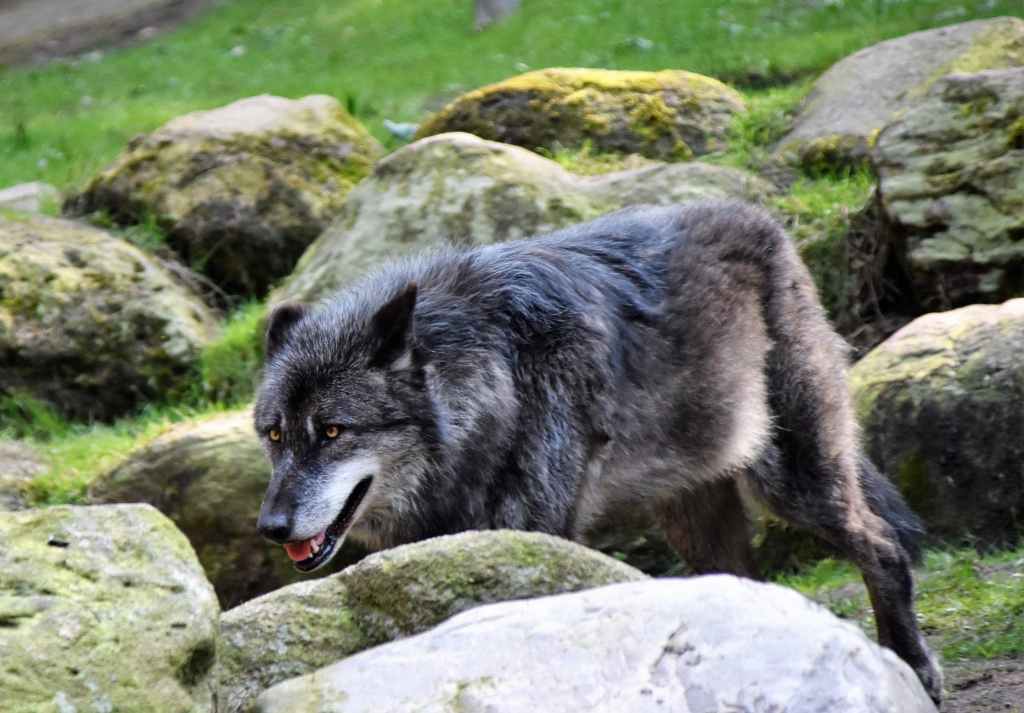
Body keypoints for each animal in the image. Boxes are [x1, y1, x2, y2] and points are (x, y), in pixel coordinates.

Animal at [254, 201, 942, 703]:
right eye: (276, 435)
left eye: (333, 431)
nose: (271, 526)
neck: (494, 382)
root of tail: (762, 221)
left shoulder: (532, 536)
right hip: (694, 519)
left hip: (792, 480)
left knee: (882, 545)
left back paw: (913, 667)